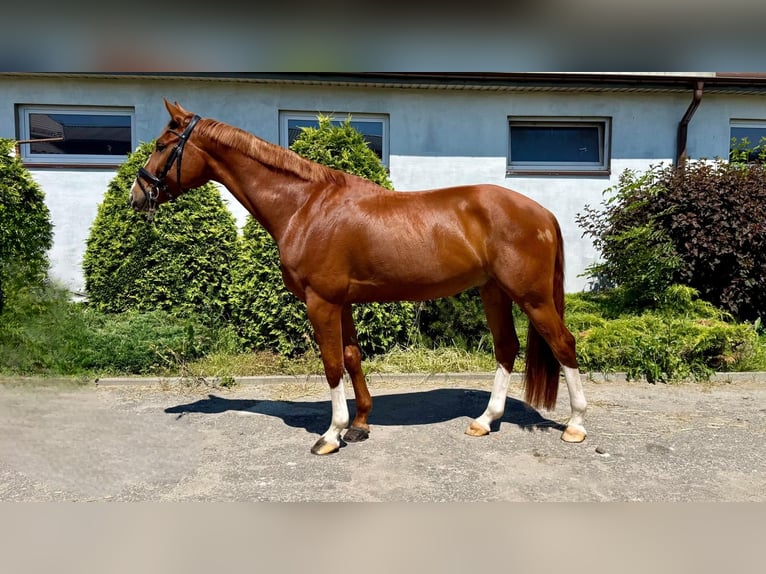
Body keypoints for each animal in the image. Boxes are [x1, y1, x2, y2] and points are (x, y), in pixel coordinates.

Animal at [131, 99, 588, 455]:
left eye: (161, 145)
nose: (137, 195)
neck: (305, 205)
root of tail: (542, 212)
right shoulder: (343, 301)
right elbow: (352, 358)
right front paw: (360, 424)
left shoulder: (321, 302)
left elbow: (332, 364)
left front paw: (331, 435)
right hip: (493, 291)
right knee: (507, 348)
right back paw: (485, 420)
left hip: (531, 296)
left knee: (564, 344)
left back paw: (575, 425)